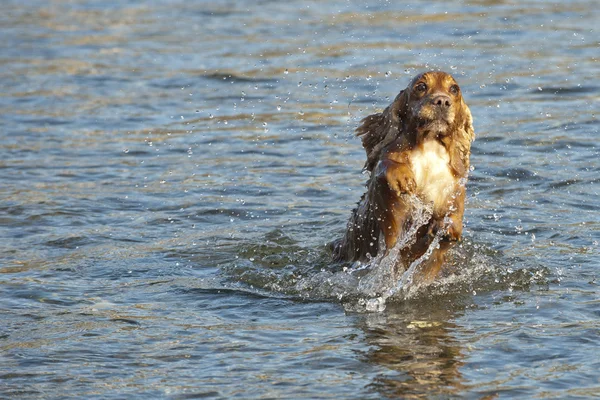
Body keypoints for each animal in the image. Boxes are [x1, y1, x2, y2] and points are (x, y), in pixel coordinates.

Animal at [330, 71, 476, 282]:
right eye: (421, 86)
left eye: (454, 89)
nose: (442, 101)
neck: (429, 148)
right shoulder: (393, 231)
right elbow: (385, 163)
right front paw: (402, 177)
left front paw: (448, 228)